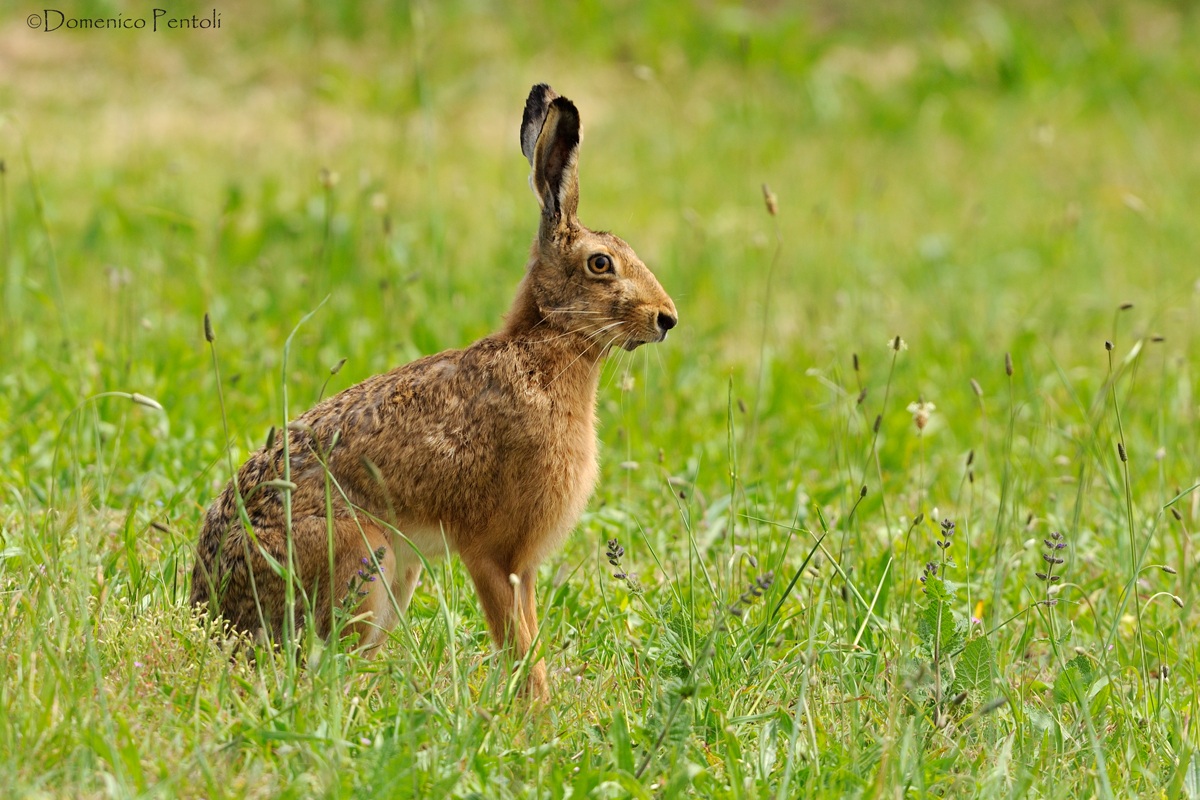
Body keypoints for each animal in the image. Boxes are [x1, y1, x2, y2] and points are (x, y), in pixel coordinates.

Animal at [190, 84, 678, 698]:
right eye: (600, 264)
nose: (666, 318)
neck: (546, 341)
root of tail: (210, 616)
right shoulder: (495, 554)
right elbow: (519, 645)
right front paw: (535, 710)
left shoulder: (521, 566)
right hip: (360, 559)